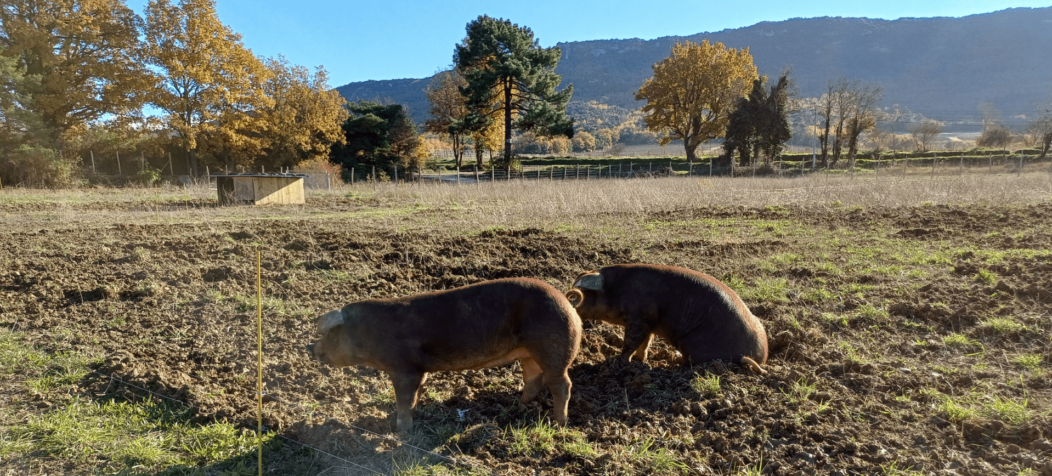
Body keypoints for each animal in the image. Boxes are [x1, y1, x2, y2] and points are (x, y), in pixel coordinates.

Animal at [305, 278, 584, 433]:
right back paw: (518, 407)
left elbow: (404, 399)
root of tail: (567, 302)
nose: (310, 347)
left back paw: (559, 423)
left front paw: (401, 430)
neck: (369, 336)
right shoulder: (418, 371)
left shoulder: (404, 368)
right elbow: (415, 395)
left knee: (562, 385)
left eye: (330, 334)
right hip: (529, 354)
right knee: (533, 380)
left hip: (553, 351)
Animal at [568, 264, 765, 372]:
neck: (616, 290)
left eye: (584, 291)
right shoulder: (648, 322)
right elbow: (644, 343)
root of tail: (759, 356)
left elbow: (631, 342)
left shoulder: (638, 318)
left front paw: (618, 362)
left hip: (693, 347)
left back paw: (675, 360)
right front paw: (640, 361)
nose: (570, 297)